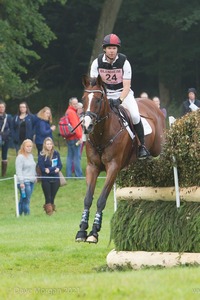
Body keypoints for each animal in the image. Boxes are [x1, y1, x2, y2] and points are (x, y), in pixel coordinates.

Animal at [75, 75, 166, 244]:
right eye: (83, 99)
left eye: (98, 100)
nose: (87, 126)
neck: (102, 134)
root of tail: (153, 105)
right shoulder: (92, 167)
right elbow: (88, 198)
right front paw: (82, 230)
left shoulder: (113, 168)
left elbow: (101, 199)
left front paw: (94, 232)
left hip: (159, 148)